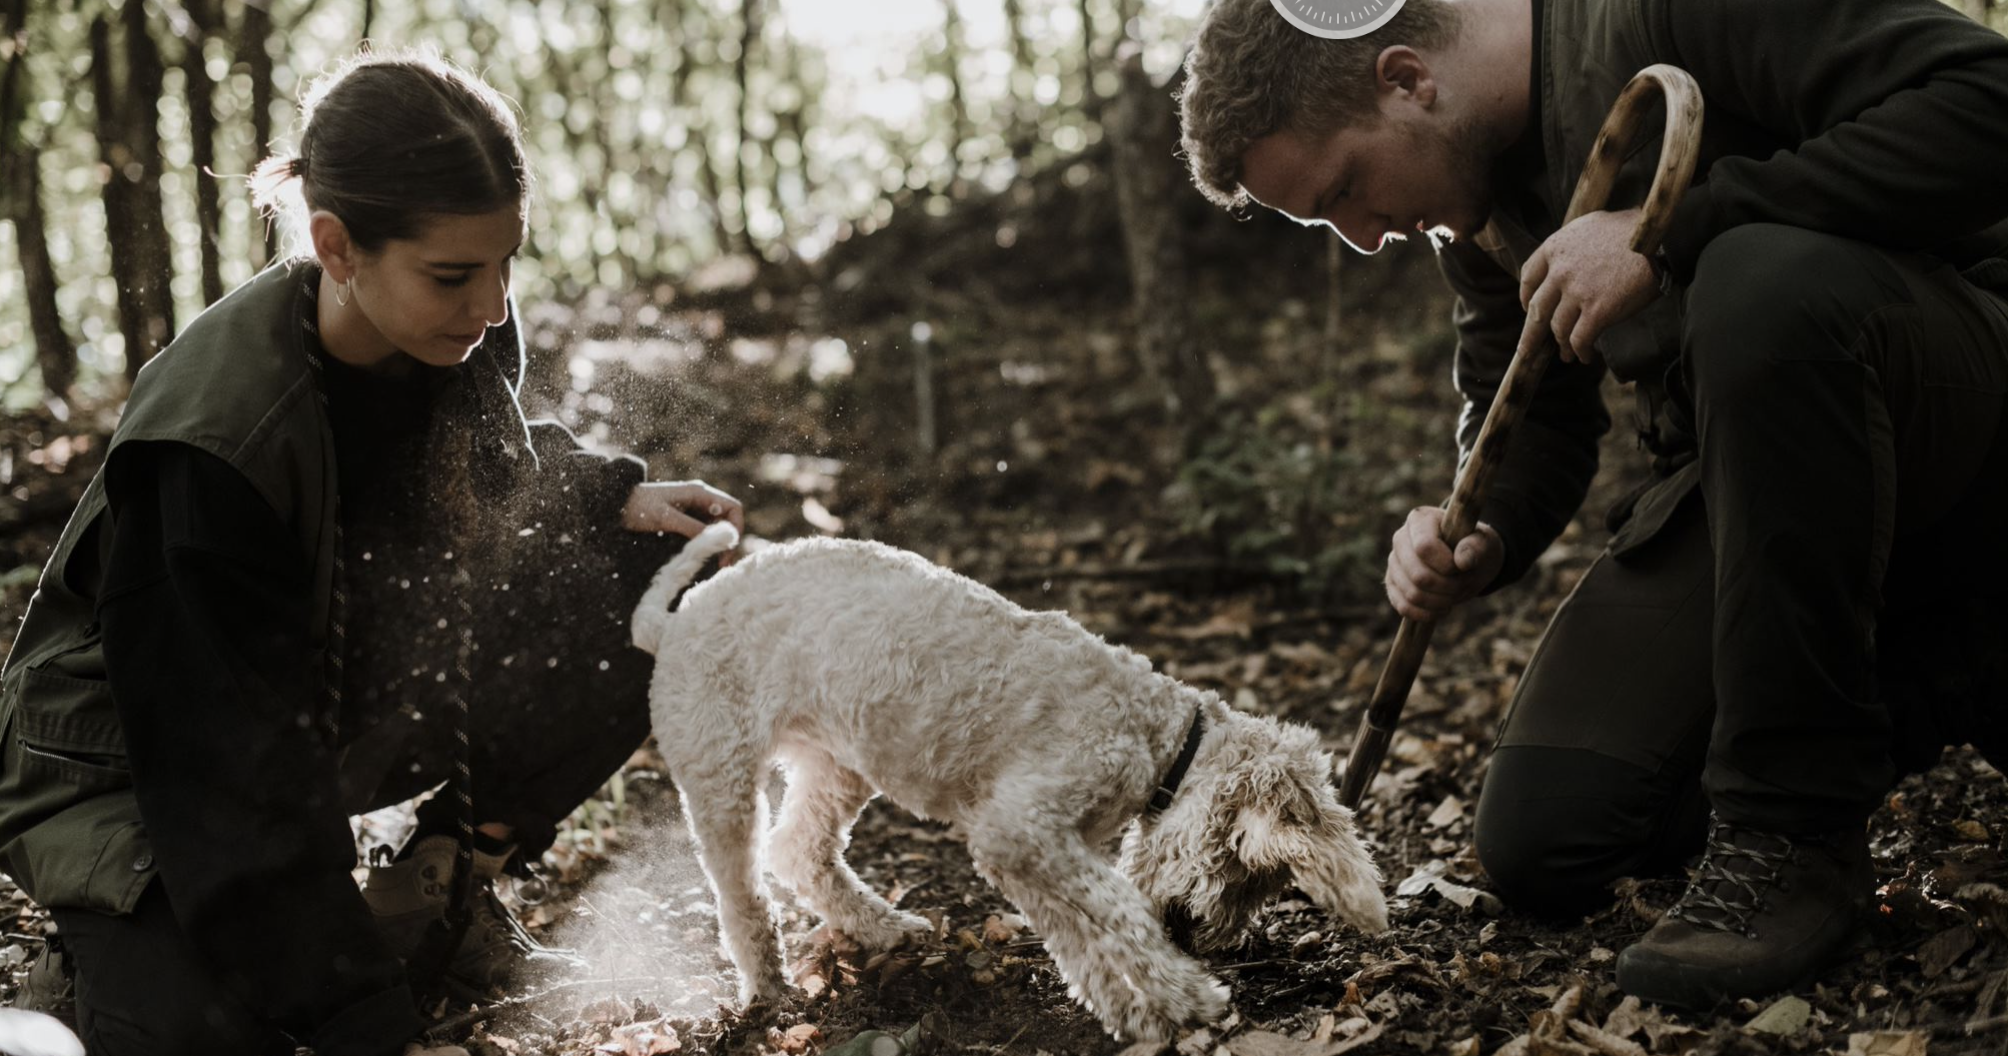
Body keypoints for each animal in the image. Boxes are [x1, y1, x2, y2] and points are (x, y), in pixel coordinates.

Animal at [634, 525, 1389, 1043]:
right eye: (1241, 869)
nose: (1205, 935)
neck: (1161, 737)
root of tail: (674, 622)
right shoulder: (1019, 832)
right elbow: (1119, 910)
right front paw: (1186, 995)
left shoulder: (1027, 855)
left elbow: (1081, 940)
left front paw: (1136, 1011)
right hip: (723, 777)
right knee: (742, 898)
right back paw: (769, 988)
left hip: (836, 764)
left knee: (799, 851)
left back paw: (884, 927)